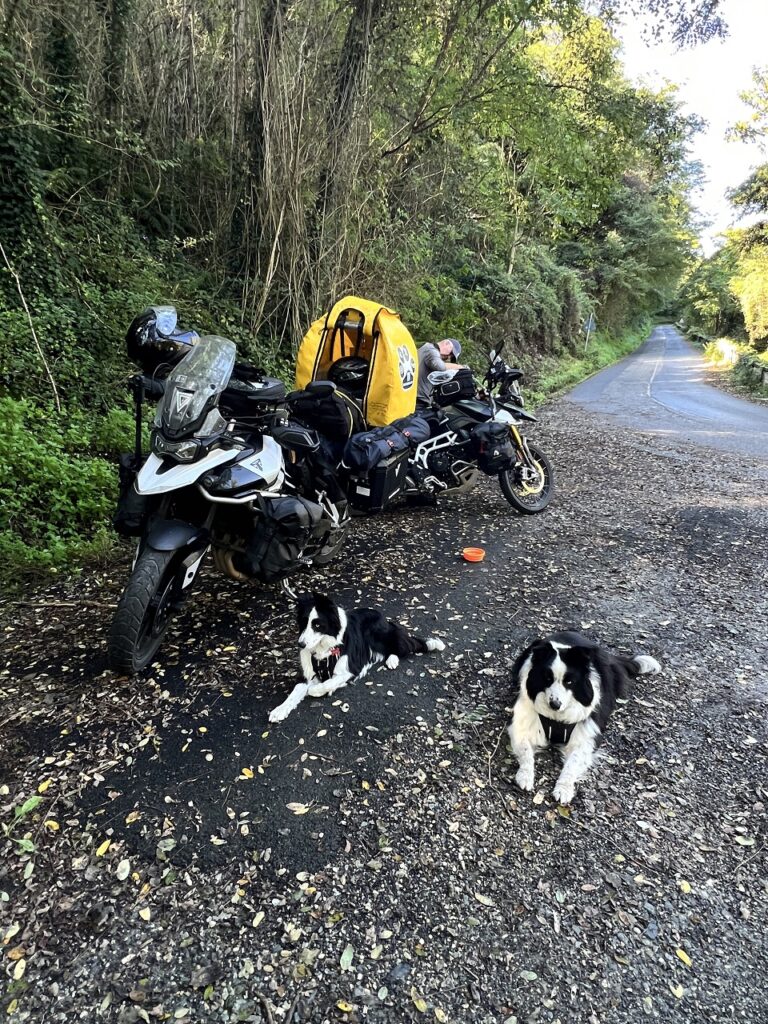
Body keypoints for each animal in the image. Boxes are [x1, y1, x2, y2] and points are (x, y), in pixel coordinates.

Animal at [268, 589, 444, 724]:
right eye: (303, 623)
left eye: (317, 625)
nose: (301, 644)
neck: (324, 648)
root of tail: (382, 616)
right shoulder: (308, 673)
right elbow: (295, 691)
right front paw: (279, 710)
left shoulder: (350, 669)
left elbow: (328, 683)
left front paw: (316, 690)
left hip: (383, 637)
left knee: (401, 646)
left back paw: (396, 658)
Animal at [507, 626, 663, 802]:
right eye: (547, 678)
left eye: (569, 681)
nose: (555, 704)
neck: (556, 718)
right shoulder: (521, 726)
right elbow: (526, 751)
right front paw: (525, 776)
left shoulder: (587, 737)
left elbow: (573, 762)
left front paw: (563, 789)